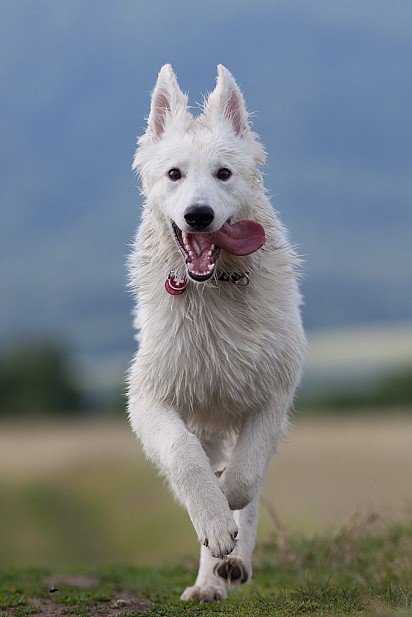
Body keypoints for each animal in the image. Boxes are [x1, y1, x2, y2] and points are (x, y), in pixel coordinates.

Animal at [129, 65, 306, 600]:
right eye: (174, 174)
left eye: (224, 174)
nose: (199, 215)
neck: (213, 289)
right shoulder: (150, 398)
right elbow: (185, 458)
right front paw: (211, 516)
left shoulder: (272, 394)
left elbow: (245, 479)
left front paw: (227, 503)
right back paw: (210, 578)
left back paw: (230, 562)